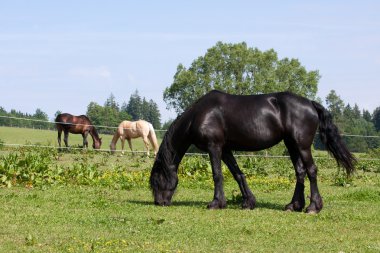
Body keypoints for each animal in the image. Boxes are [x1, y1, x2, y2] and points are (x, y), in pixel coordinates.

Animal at [149, 90, 356, 213]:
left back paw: (313, 206)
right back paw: (293, 205)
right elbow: (237, 174)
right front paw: (248, 202)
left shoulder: (214, 147)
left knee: (311, 170)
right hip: (291, 145)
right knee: (300, 172)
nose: (159, 202)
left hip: (302, 145)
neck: (200, 115)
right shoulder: (225, 149)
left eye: (157, 180)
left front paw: (216, 203)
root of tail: (311, 104)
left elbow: (217, 175)